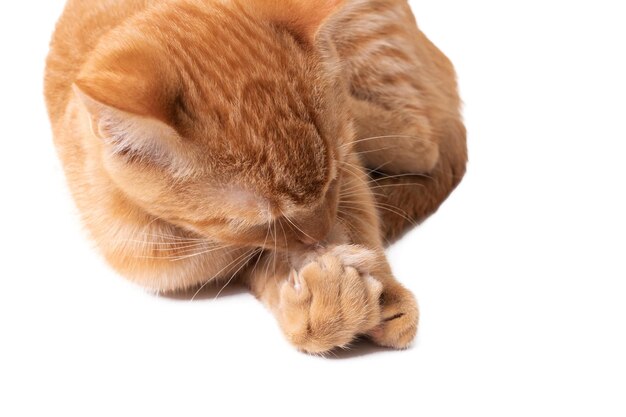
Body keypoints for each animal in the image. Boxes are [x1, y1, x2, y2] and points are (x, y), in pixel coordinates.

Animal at [46, 0, 464, 352]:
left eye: (332, 180)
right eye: (264, 221)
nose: (319, 234)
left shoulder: (348, 173)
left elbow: (359, 209)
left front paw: (376, 283)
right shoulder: (159, 259)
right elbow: (251, 260)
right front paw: (322, 309)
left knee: (423, 140)